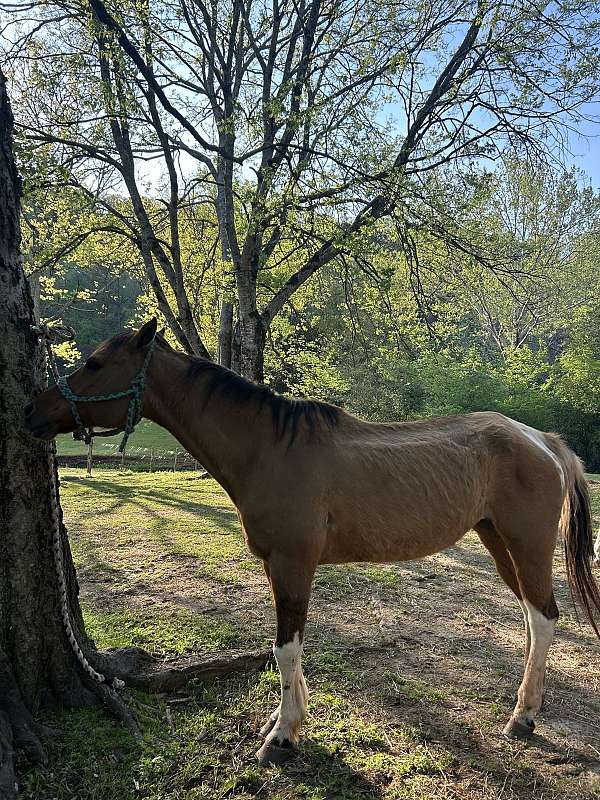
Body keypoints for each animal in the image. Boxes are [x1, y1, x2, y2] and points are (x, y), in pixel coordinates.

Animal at [25, 318, 600, 766]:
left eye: (95, 364)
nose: (33, 412)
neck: (270, 448)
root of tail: (542, 441)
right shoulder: (278, 566)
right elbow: (288, 647)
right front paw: (287, 722)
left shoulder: (292, 563)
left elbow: (286, 648)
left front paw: (282, 736)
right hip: (500, 545)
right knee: (534, 617)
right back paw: (526, 705)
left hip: (525, 545)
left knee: (544, 618)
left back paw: (522, 717)